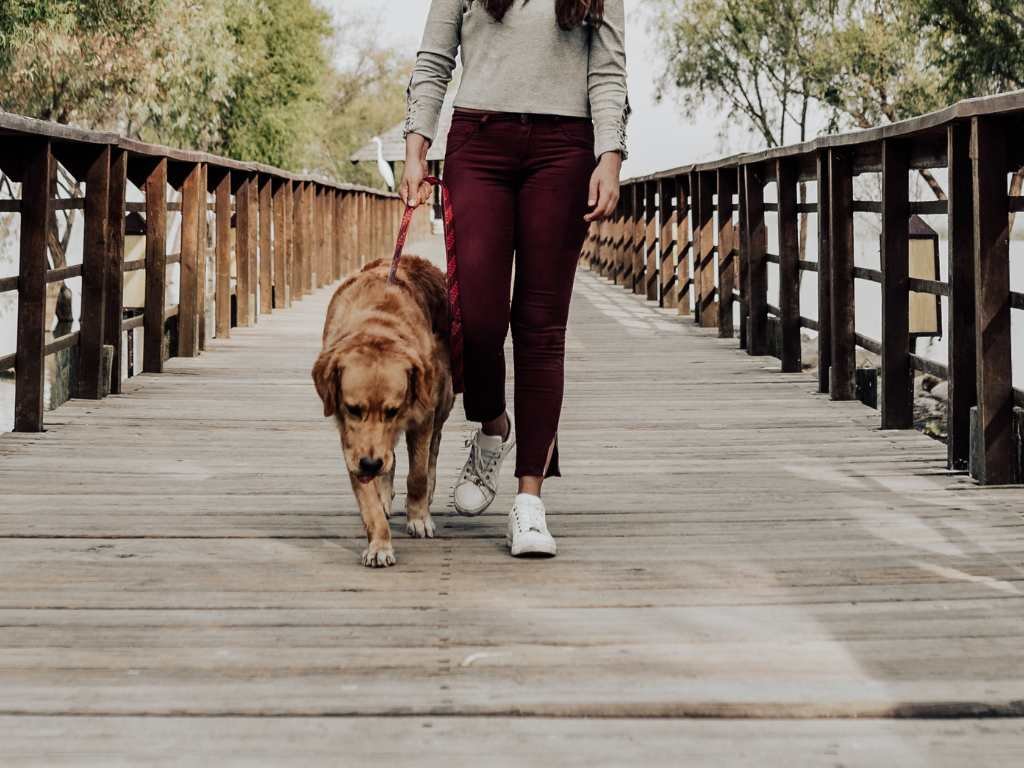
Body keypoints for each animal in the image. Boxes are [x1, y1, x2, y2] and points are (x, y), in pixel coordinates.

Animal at [313, 256, 454, 569]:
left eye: (393, 410)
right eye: (353, 409)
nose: (370, 464)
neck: (378, 325)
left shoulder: (422, 415)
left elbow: (418, 474)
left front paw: (418, 517)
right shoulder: (350, 440)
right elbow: (368, 502)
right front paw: (379, 544)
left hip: (443, 398)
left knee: (434, 450)